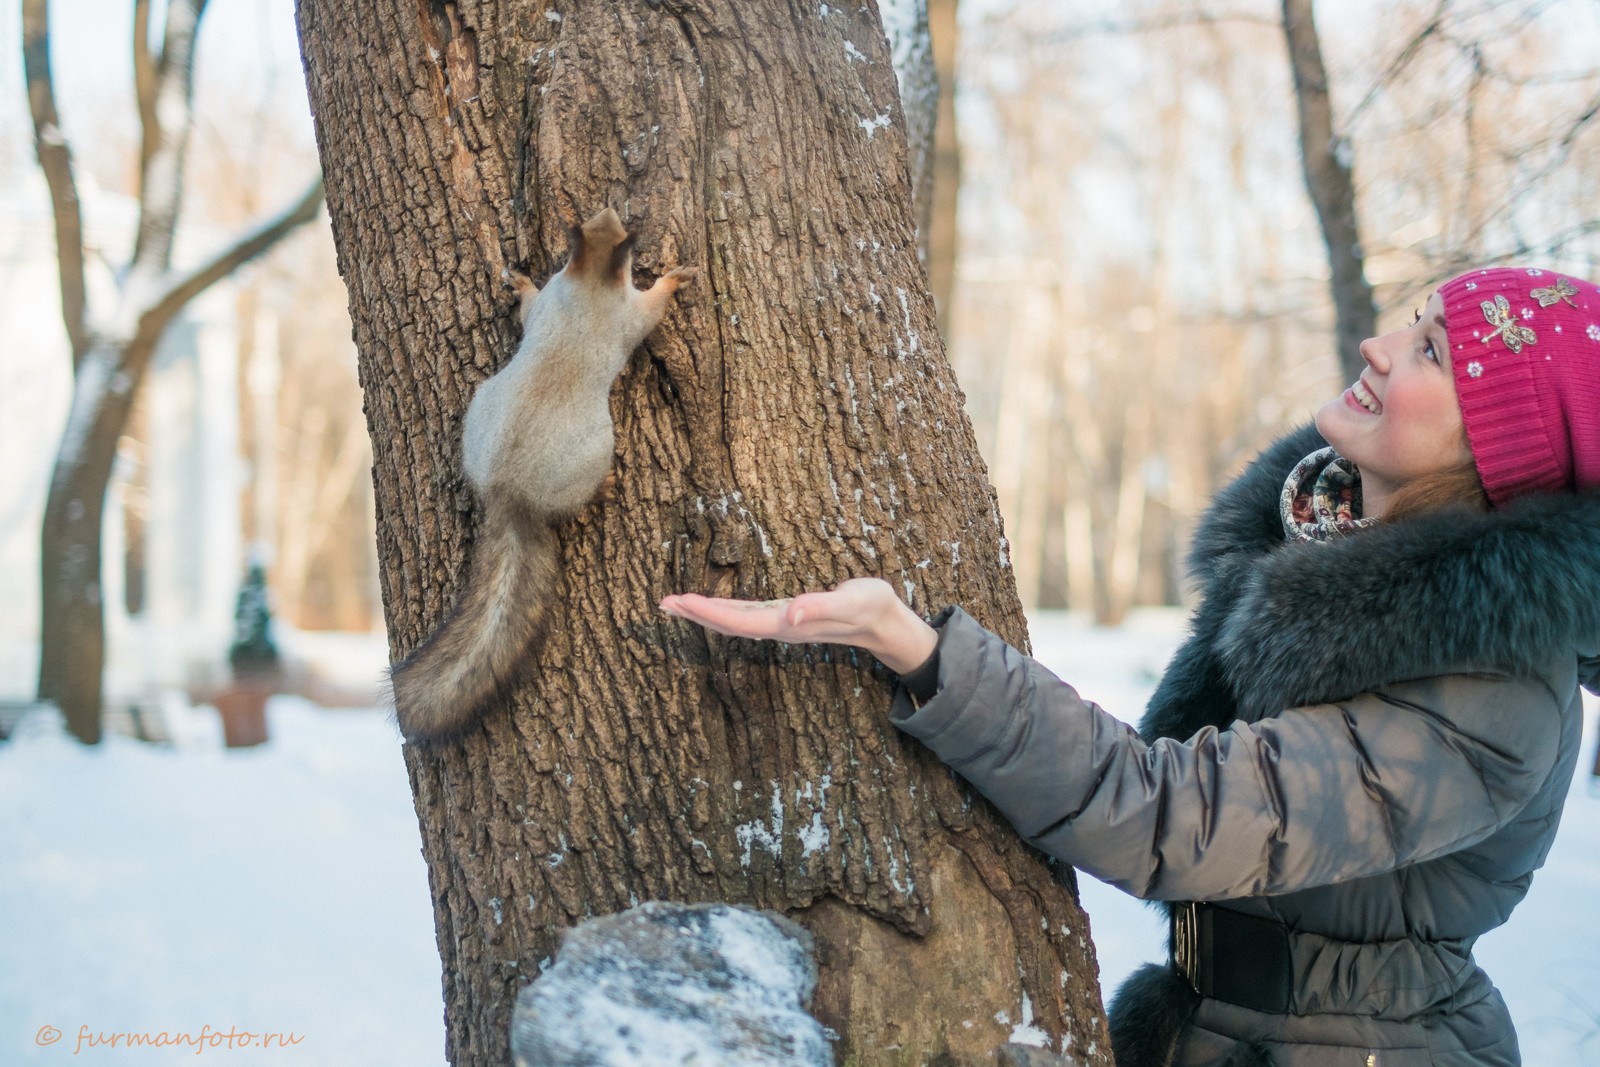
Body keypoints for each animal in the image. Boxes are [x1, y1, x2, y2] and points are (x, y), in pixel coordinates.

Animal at [390, 206, 697, 742]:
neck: (589, 282)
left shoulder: (549, 300)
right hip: (595, 451)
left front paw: (519, 285)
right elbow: (652, 309)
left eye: (599, 222)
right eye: (625, 241)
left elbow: (529, 308)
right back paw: (603, 488)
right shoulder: (630, 316)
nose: (611, 208)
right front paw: (673, 280)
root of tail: (510, 493)